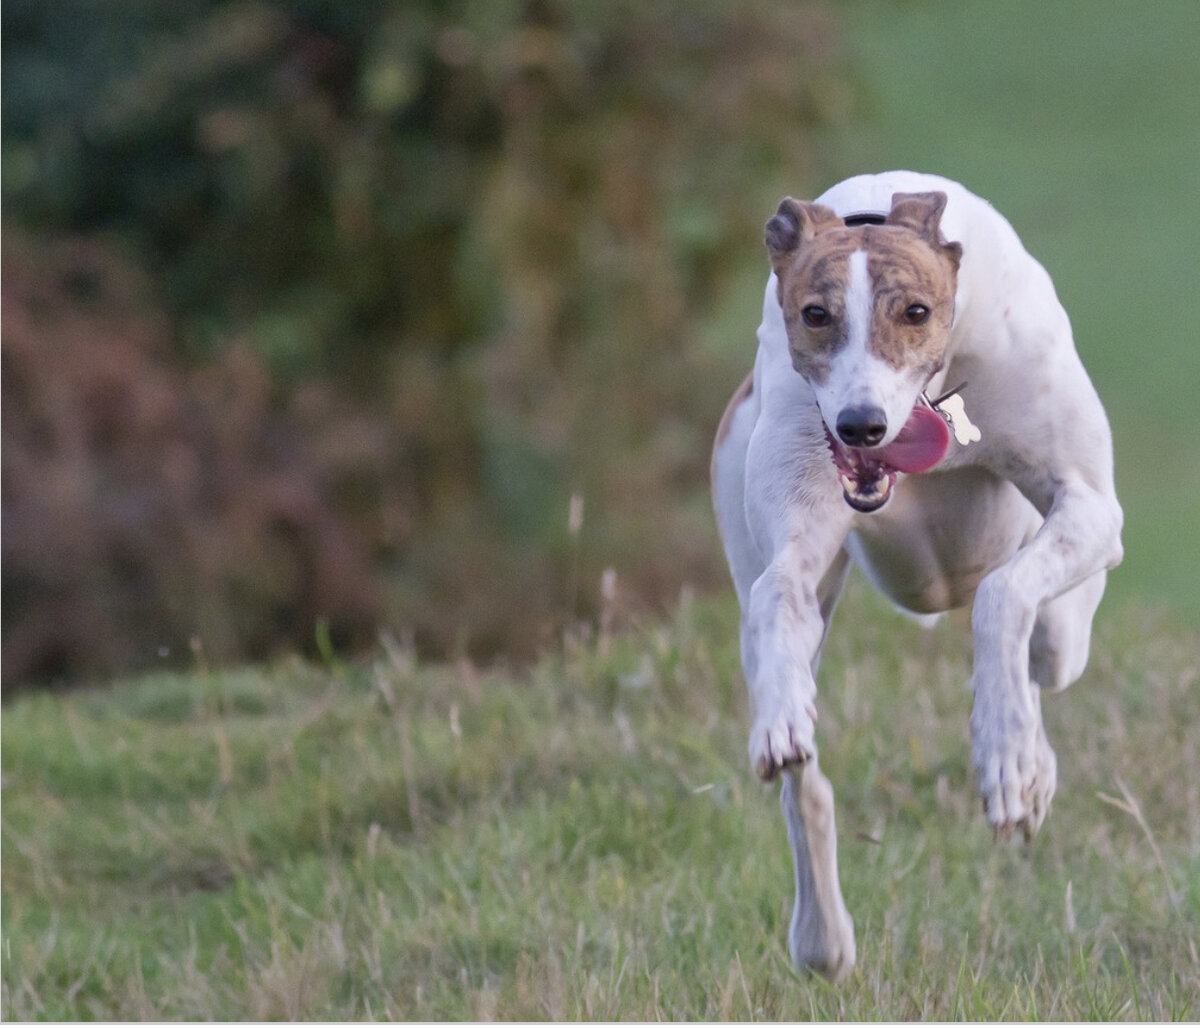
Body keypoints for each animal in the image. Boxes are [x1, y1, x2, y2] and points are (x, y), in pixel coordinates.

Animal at [705, 172, 1118, 983]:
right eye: (816, 314)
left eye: (916, 312)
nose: (862, 424)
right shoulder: (800, 525)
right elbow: (778, 593)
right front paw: (780, 718)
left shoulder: (1090, 506)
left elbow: (1004, 597)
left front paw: (1006, 755)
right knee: (806, 783)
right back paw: (822, 938)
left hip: (1057, 611)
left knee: (1042, 637)